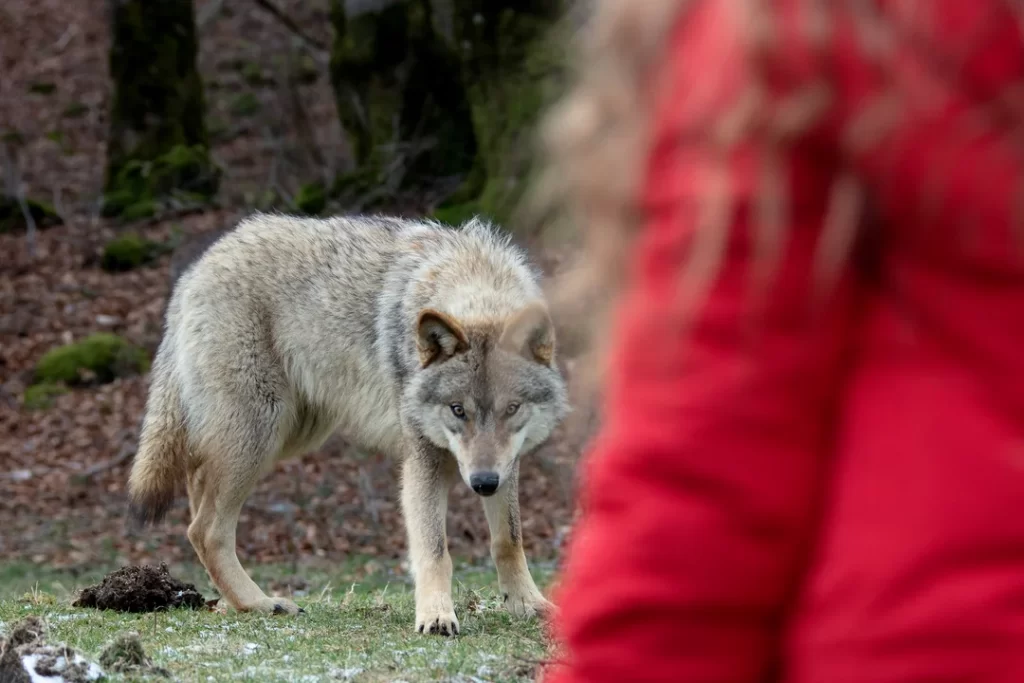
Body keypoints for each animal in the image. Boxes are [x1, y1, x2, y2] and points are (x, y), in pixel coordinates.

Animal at [125, 211, 569, 634]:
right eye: (457, 409)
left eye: (512, 408)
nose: (482, 484)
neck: (472, 279)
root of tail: (196, 270)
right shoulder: (421, 459)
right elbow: (435, 550)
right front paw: (436, 616)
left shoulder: (507, 463)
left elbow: (508, 540)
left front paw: (528, 606)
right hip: (260, 434)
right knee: (204, 529)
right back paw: (259, 603)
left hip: (289, 433)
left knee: (197, 489)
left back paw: (236, 602)